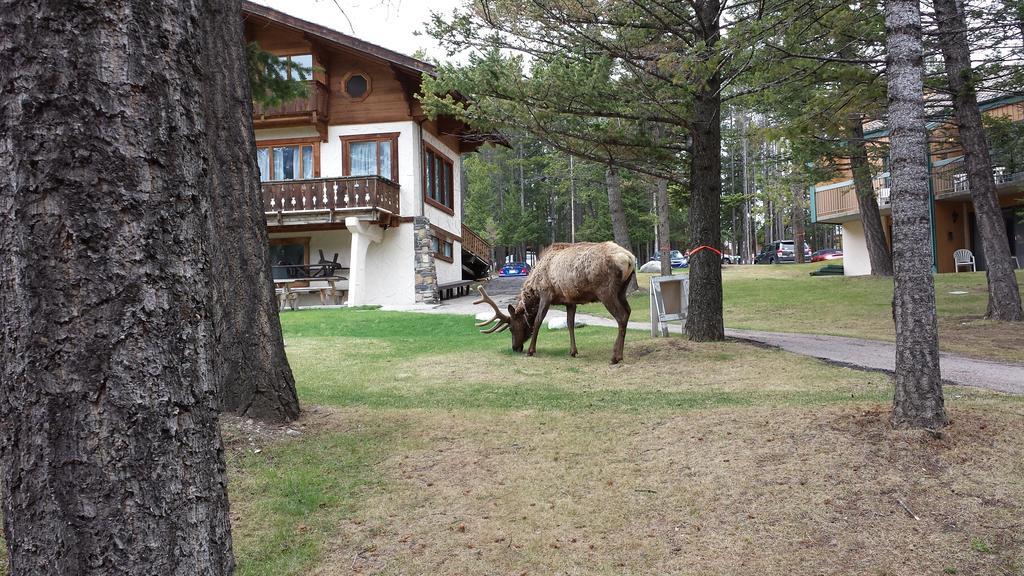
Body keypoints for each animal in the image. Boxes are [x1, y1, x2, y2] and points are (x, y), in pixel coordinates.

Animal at [475, 241, 634, 362]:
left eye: (511, 328)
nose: (515, 348)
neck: (534, 289)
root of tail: (630, 259)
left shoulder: (546, 294)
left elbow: (538, 320)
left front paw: (531, 350)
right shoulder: (570, 300)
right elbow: (570, 323)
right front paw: (573, 351)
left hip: (605, 291)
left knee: (621, 316)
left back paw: (615, 356)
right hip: (622, 291)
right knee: (628, 312)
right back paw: (619, 354)